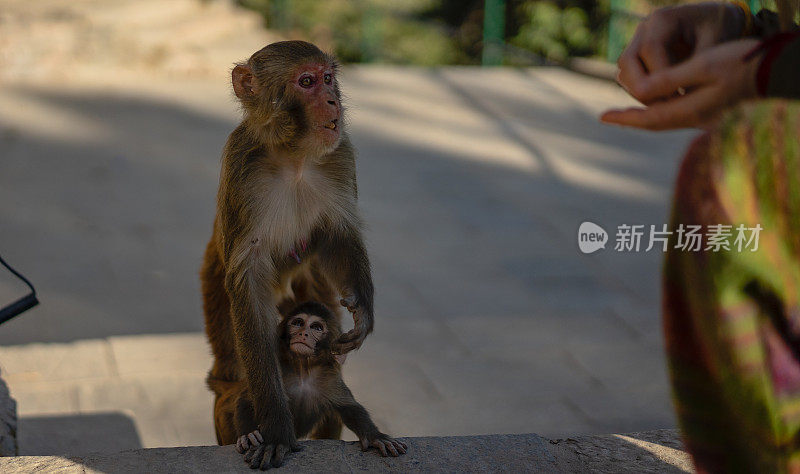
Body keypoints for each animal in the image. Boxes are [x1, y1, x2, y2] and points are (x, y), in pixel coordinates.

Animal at [200, 41, 376, 470]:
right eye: (306, 82)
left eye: (328, 78)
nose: (332, 100)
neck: (295, 156)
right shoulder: (242, 164)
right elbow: (248, 277)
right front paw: (276, 426)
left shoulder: (341, 156)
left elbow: (338, 234)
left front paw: (363, 309)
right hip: (216, 297)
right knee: (230, 378)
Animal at [233, 302, 406, 468]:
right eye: (298, 323)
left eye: (316, 327)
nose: (303, 333)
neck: (302, 370)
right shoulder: (280, 369)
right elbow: (248, 400)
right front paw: (249, 435)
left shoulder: (329, 378)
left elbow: (350, 407)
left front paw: (375, 436)